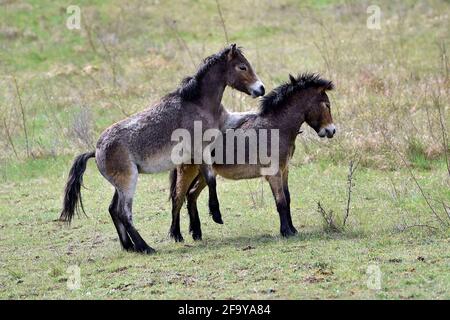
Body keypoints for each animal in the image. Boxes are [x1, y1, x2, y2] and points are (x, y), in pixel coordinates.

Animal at [59, 44, 264, 255]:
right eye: (242, 67)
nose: (260, 88)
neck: (198, 103)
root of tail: (97, 150)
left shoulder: (227, 122)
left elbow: (249, 114)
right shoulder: (200, 150)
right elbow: (211, 180)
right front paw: (216, 215)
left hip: (120, 185)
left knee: (112, 209)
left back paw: (129, 246)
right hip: (128, 182)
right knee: (124, 213)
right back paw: (145, 247)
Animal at [169, 74, 334, 241]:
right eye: (327, 105)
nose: (331, 131)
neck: (276, 127)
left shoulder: (285, 170)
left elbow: (287, 198)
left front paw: (293, 230)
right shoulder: (273, 173)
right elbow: (280, 201)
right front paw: (285, 231)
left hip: (205, 173)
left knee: (191, 195)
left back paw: (196, 233)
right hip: (187, 171)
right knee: (178, 198)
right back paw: (176, 235)